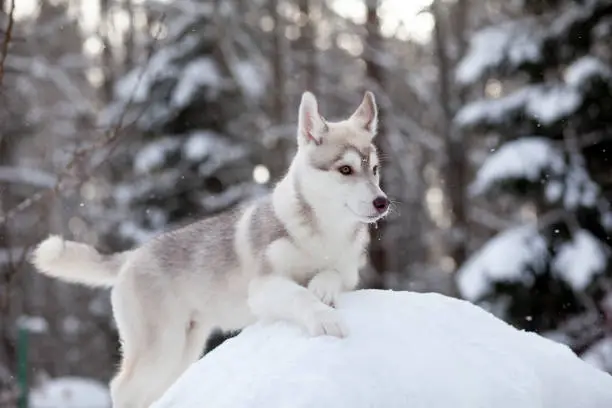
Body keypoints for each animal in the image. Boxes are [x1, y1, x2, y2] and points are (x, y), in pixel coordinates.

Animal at [31, 91, 388, 406]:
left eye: (374, 170)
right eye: (345, 169)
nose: (382, 202)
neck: (322, 233)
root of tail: (132, 256)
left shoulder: (348, 273)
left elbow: (330, 276)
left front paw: (323, 287)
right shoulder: (262, 286)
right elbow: (299, 295)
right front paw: (325, 318)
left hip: (183, 351)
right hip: (161, 348)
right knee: (122, 389)